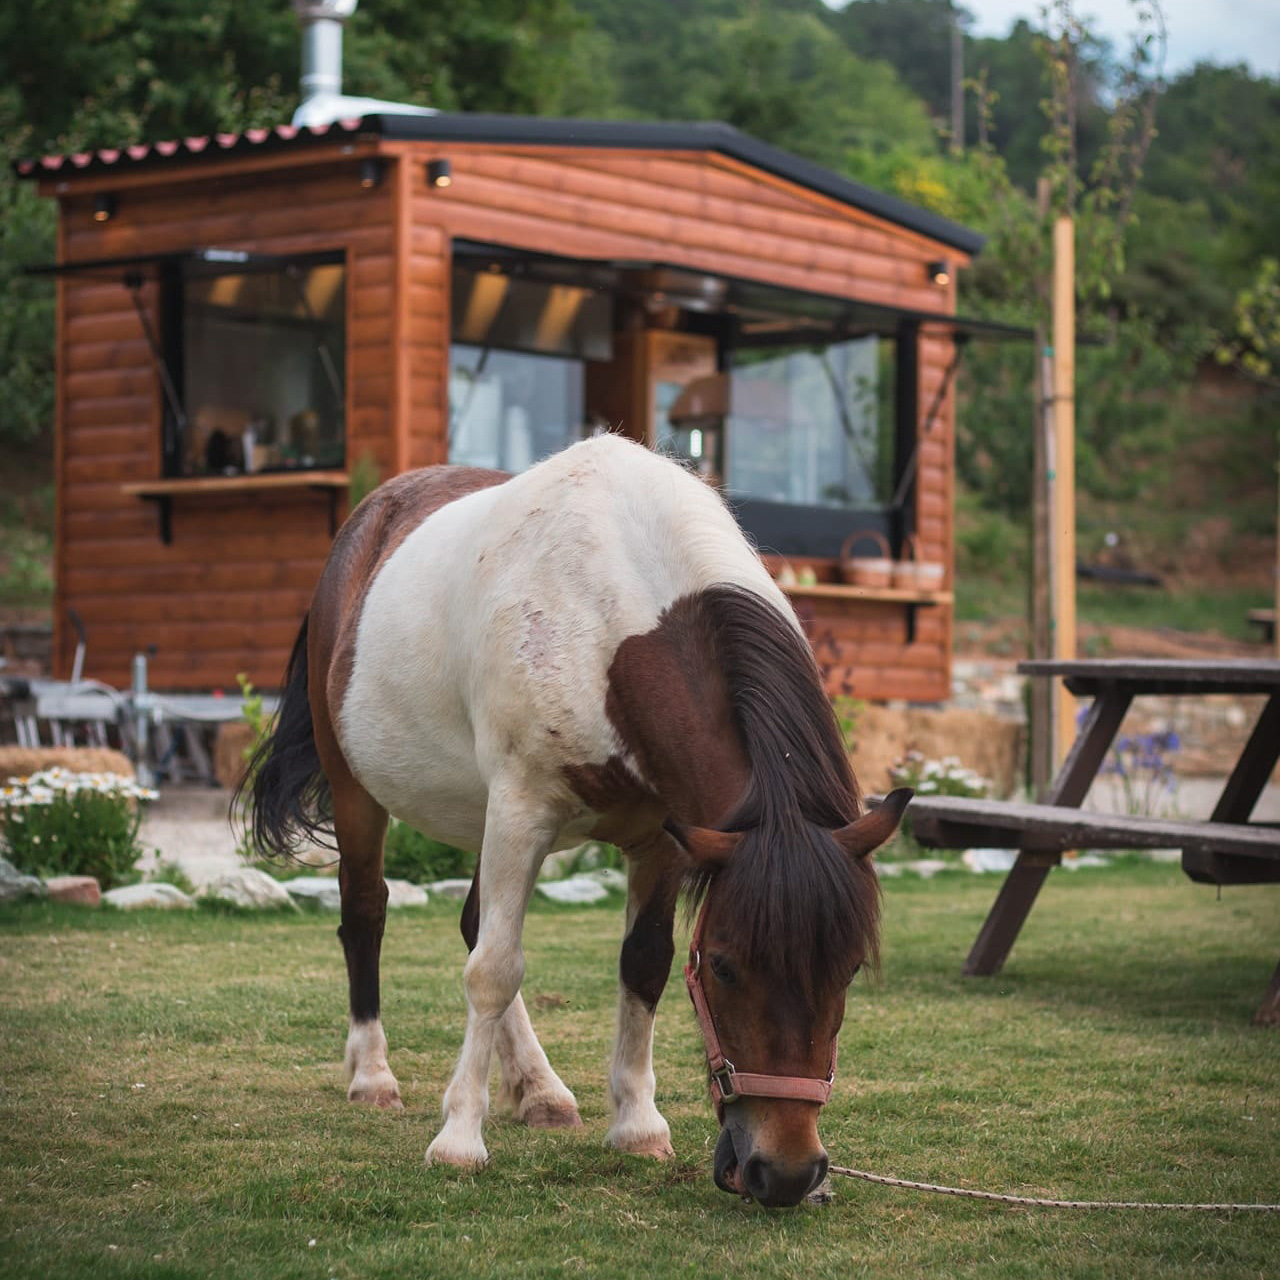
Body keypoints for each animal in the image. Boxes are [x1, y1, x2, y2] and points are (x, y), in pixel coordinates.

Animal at [247, 435, 911, 1203]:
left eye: (849, 966)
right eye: (722, 966)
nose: (786, 1172)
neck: (608, 626)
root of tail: (364, 525)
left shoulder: (664, 839)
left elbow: (642, 965)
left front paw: (638, 1126)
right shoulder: (521, 811)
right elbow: (493, 969)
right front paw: (458, 1138)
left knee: (471, 922)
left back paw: (540, 1091)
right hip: (359, 790)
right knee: (366, 914)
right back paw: (374, 1075)